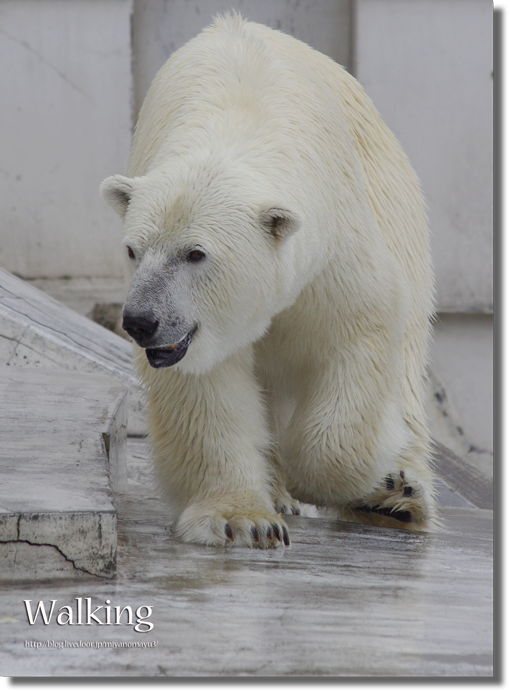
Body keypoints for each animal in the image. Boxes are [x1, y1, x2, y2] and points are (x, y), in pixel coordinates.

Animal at [101, 12, 436, 548]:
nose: (140, 322)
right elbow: (207, 390)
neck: (241, 118)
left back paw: (397, 499)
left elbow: (358, 333)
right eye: (133, 250)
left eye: (195, 253)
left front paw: (356, 484)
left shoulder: (331, 253)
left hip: (395, 203)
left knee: (403, 370)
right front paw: (244, 519)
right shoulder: (197, 335)